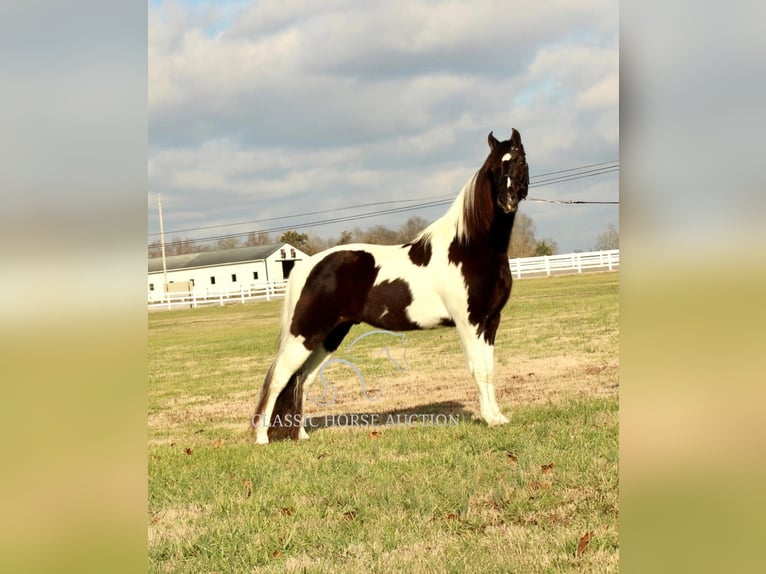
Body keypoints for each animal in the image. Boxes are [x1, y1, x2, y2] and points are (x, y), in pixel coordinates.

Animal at [255, 130, 532, 446]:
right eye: (494, 168)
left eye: (520, 161)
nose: (507, 200)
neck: (468, 247)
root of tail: (305, 266)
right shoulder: (469, 322)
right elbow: (479, 369)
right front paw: (489, 419)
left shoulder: (490, 321)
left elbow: (490, 369)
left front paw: (498, 416)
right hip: (303, 335)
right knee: (278, 379)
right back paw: (261, 438)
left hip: (328, 336)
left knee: (303, 379)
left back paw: (300, 434)